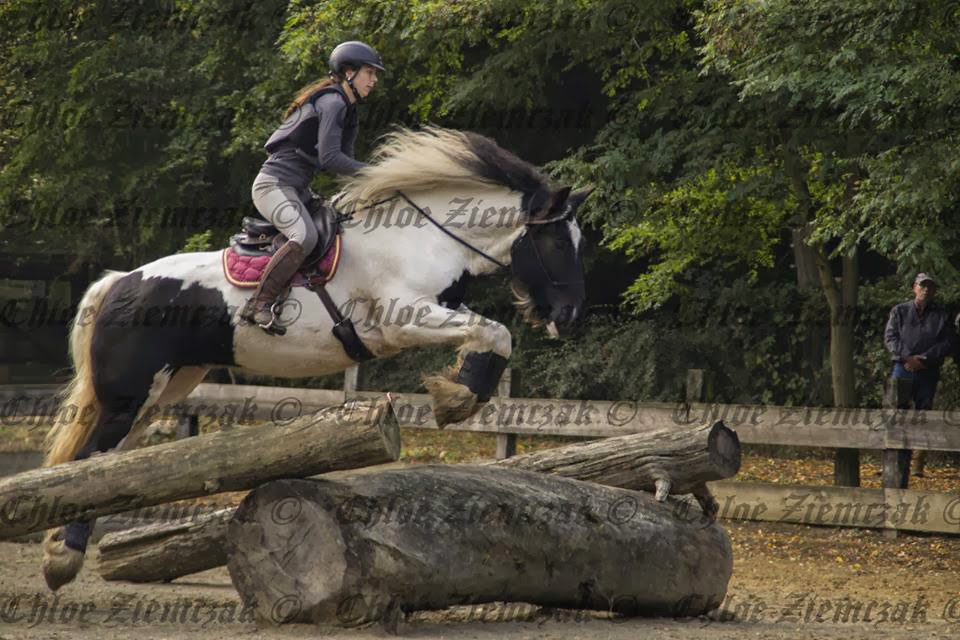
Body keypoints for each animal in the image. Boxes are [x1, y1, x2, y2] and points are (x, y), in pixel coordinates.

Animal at [39, 126, 591, 590]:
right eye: (554, 241)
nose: (569, 316)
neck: (423, 237)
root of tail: (119, 283)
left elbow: (492, 335)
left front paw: (459, 393)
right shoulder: (404, 318)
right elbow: (495, 331)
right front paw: (459, 398)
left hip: (167, 388)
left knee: (110, 469)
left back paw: (61, 549)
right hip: (130, 395)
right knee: (92, 461)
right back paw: (63, 558)